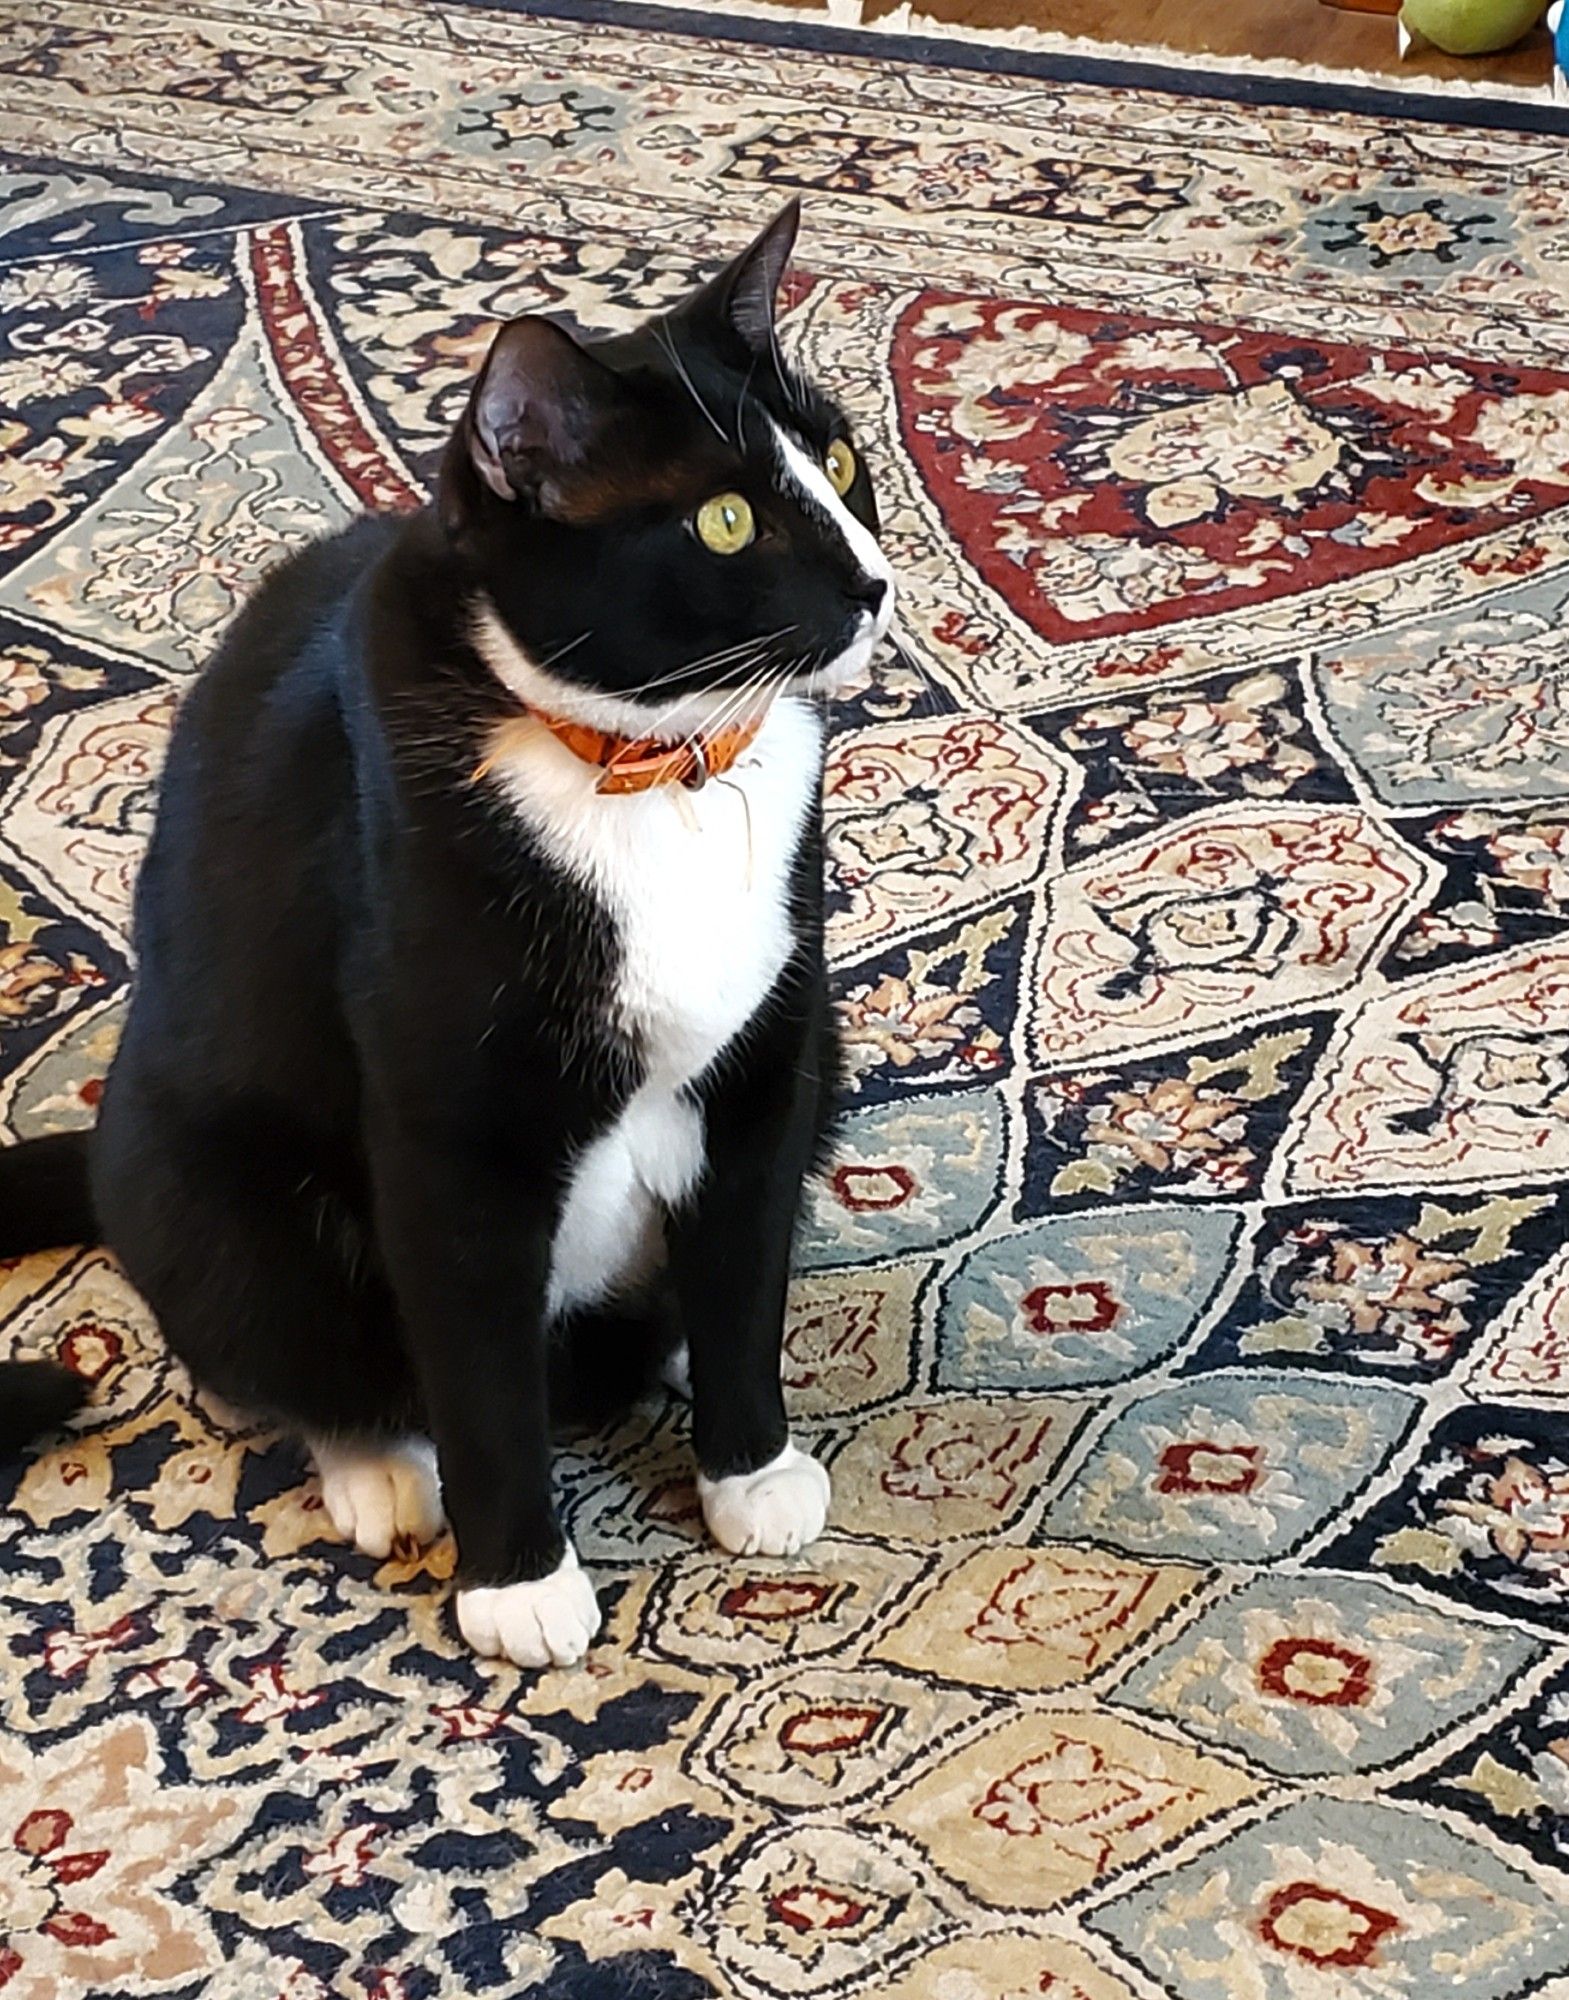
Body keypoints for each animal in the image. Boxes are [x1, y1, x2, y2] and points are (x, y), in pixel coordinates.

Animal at [0, 203, 896, 1672]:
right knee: (298, 1357)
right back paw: (381, 1472)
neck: (651, 775)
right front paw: (520, 1578)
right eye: (724, 521)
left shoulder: (769, 1060)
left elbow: (743, 1266)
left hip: (826, 1059)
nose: (874, 583)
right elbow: (474, 1364)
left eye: (837, 460)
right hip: (208, 1172)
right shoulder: (448, 1129)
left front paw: (750, 1470)